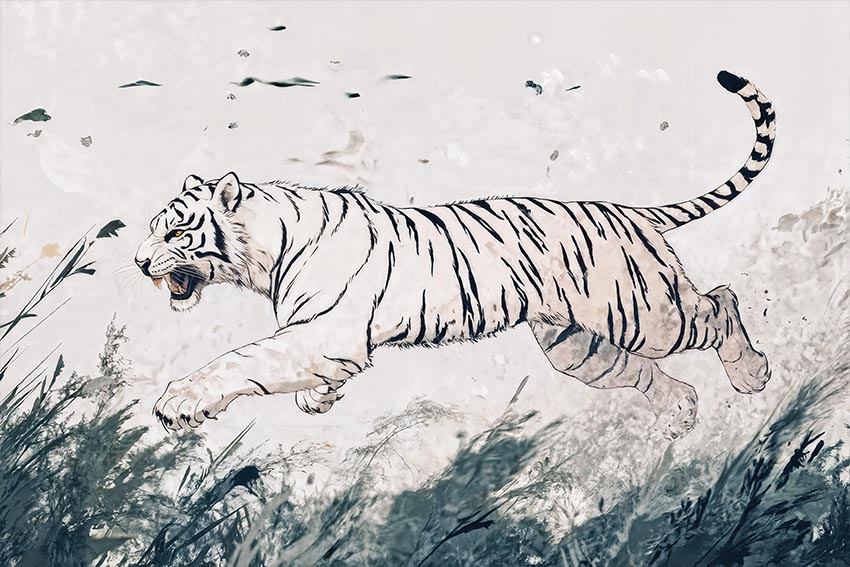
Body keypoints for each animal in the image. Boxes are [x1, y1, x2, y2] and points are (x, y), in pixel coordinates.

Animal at [137, 70, 775, 439]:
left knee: (720, 302)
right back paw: (681, 413)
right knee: (649, 374)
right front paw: (320, 399)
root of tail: (632, 210)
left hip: (645, 314)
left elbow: (240, 360)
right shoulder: (327, 342)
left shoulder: (321, 331)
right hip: (578, 346)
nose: (141, 264)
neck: (265, 250)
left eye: (175, 232)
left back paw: (752, 375)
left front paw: (178, 402)